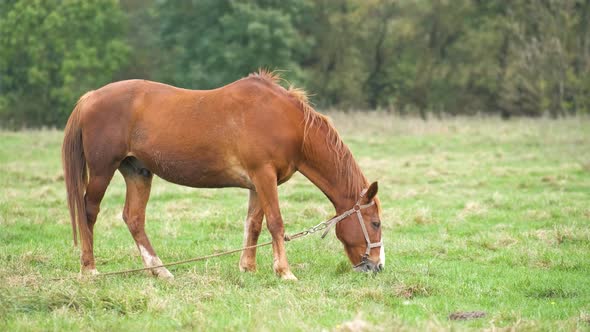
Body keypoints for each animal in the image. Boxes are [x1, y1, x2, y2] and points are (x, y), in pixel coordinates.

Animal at [60, 70, 384, 280]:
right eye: (376, 223)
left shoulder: (257, 183)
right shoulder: (264, 176)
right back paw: (89, 268)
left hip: (138, 171)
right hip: (102, 171)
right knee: (89, 213)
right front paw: (284, 272)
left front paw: (248, 268)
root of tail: (89, 98)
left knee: (134, 218)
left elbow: (254, 224)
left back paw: (160, 270)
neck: (287, 121)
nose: (377, 266)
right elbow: (276, 223)